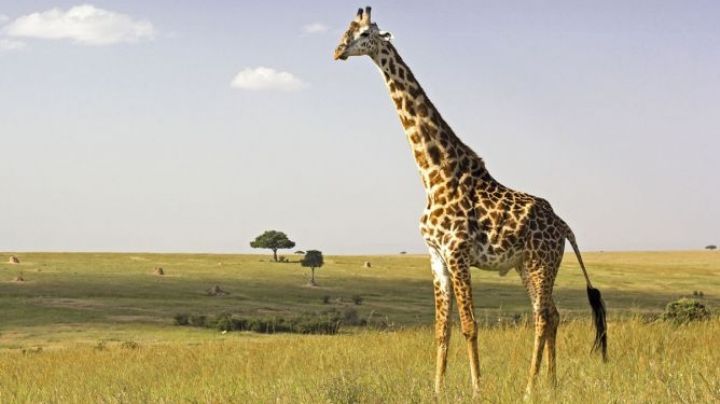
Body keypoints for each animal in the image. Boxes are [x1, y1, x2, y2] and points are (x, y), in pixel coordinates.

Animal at [333, 7, 608, 397]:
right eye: (346, 30)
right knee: (553, 315)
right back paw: (551, 384)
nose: (337, 51)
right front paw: (437, 389)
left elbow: (469, 325)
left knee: (542, 317)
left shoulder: (457, 252)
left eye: (365, 34)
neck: (433, 173)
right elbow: (441, 328)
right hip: (528, 265)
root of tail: (565, 226)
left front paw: (478, 389)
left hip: (541, 261)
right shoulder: (436, 255)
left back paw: (529, 389)